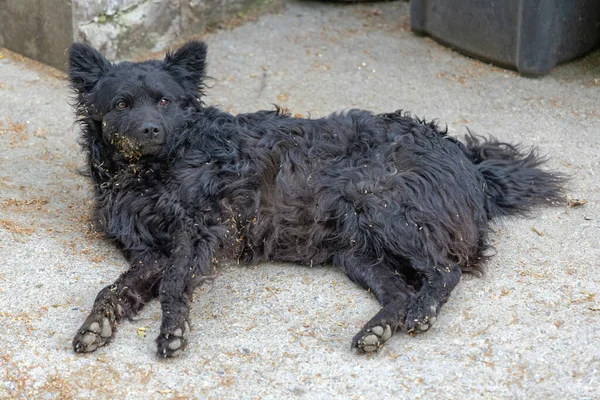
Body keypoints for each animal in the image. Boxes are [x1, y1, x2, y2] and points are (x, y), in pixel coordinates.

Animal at [68, 42, 564, 358]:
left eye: (165, 101)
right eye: (122, 104)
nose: (151, 130)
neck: (152, 171)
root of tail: (468, 159)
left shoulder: (204, 228)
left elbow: (174, 284)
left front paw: (172, 331)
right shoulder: (149, 250)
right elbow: (114, 289)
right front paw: (97, 324)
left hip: (379, 206)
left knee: (445, 270)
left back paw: (422, 312)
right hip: (355, 252)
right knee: (400, 291)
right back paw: (378, 329)